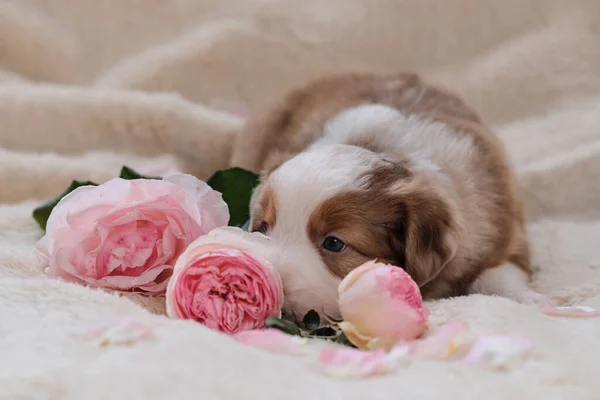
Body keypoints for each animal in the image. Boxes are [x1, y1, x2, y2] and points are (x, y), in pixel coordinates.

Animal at [232, 72, 540, 318]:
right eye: (262, 228)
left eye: (334, 243)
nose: (275, 282)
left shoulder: (504, 228)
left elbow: (496, 274)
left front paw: (530, 300)